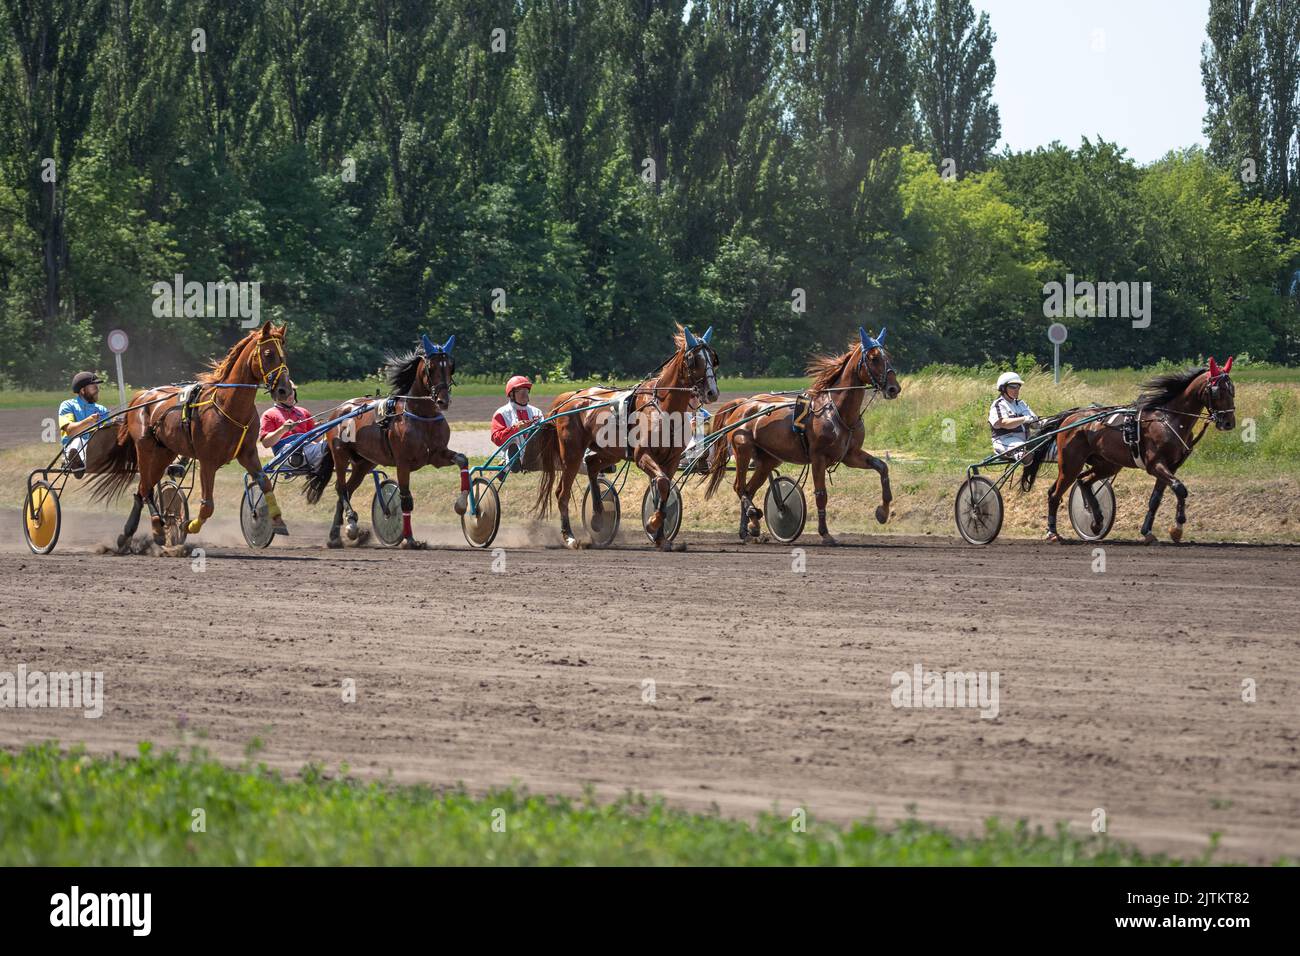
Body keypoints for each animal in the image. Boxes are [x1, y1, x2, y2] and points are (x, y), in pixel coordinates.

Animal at [90, 322, 294, 547]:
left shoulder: (247, 454)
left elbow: (265, 483)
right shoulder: (207, 460)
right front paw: (188, 525)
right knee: (146, 488)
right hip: (145, 448)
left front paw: (277, 521)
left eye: (283, 354)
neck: (227, 405)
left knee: (143, 489)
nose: (284, 390)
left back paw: (137, 531)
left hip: (164, 452)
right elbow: (207, 505)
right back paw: (154, 528)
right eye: (268, 353)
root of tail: (142, 396)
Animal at [303, 334, 469, 549]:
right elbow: (406, 498)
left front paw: (461, 504)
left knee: (348, 489)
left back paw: (335, 536)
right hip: (340, 454)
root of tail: (340, 410)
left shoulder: (436, 455)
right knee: (341, 488)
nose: (443, 401)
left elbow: (462, 460)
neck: (421, 417)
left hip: (364, 462)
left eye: (450, 367)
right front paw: (409, 539)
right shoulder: (403, 462)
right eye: (431, 368)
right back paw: (351, 525)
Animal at [531, 326, 720, 551]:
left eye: (713, 359)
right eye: (694, 360)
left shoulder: (672, 460)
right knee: (562, 492)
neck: (663, 406)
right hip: (571, 453)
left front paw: (661, 537)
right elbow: (662, 483)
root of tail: (569, 398)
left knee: (592, 465)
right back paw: (569, 537)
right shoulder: (642, 455)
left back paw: (598, 516)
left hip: (609, 451)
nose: (712, 392)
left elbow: (664, 489)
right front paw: (652, 523)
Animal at [702, 327, 901, 545]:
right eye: (874, 358)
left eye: (888, 356)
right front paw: (825, 534)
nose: (894, 388)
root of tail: (743, 404)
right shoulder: (818, 457)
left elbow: (882, 467)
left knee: (749, 489)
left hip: (768, 460)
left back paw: (749, 528)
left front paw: (882, 512)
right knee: (739, 487)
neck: (837, 412)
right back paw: (753, 517)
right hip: (743, 450)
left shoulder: (851, 455)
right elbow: (821, 494)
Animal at [1019, 357, 1237, 543]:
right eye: (1217, 391)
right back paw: (1052, 532)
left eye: (1232, 390)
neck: (1169, 419)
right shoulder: (1155, 464)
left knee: (1084, 481)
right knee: (1055, 493)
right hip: (1070, 463)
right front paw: (1177, 528)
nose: (1228, 423)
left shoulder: (1171, 466)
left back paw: (1097, 522)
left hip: (1107, 464)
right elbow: (1179, 488)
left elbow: (1156, 499)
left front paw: (1148, 531)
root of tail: (1071, 416)